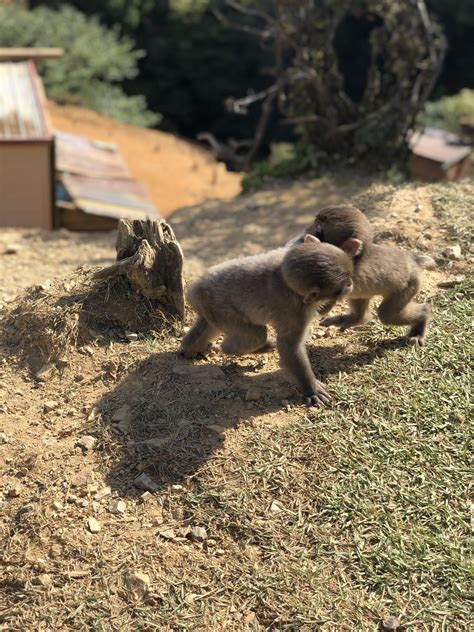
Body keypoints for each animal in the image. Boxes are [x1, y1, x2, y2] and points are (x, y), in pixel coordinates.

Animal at [181, 239, 352, 408]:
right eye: (341, 286)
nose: (350, 284)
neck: (285, 279)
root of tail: (195, 290)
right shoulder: (295, 311)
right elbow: (289, 346)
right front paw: (311, 389)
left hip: (210, 309)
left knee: (208, 327)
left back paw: (190, 348)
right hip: (222, 309)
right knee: (255, 336)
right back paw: (237, 348)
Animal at [294, 206, 436, 346]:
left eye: (318, 226)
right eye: (315, 221)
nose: (307, 229)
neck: (355, 258)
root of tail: (414, 260)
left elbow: (327, 301)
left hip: (410, 285)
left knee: (387, 314)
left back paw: (424, 316)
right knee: (363, 305)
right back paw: (357, 319)